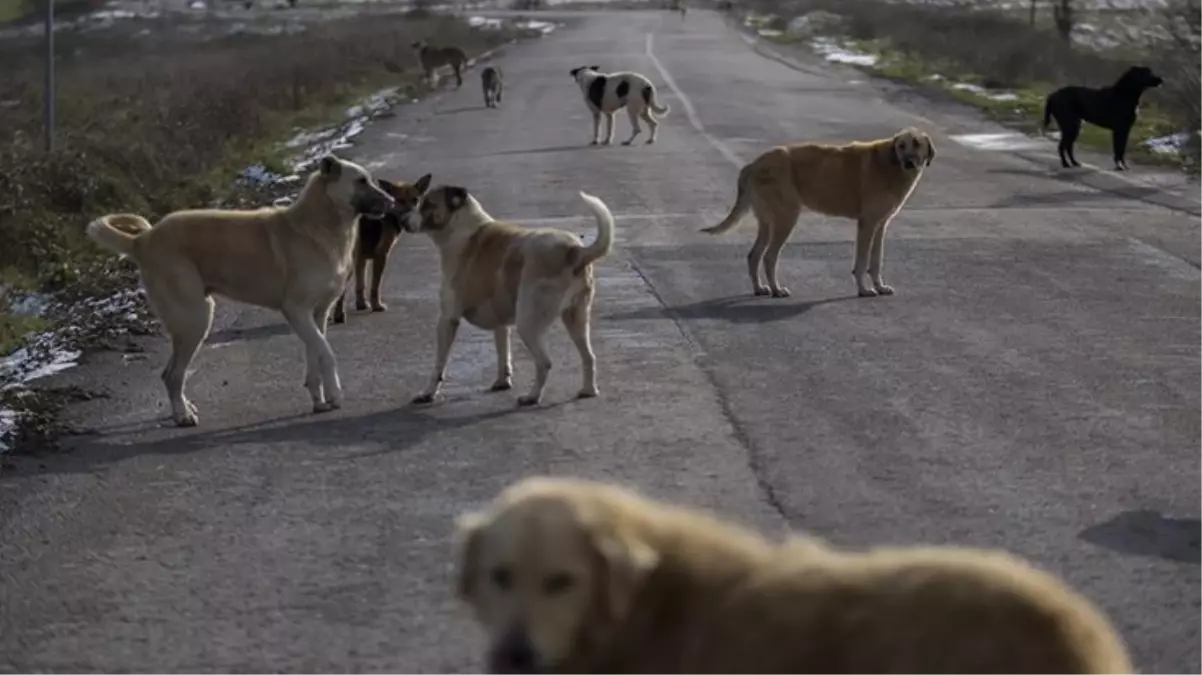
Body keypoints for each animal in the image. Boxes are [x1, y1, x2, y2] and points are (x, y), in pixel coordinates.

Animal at [85, 154, 394, 422]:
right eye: (361, 181)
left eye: (371, 179)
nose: (391, 202)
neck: (320, 224)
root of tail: (142, 240)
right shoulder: (296, 311)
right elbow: (326, 354)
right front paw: (336, 394)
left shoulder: (317, 315)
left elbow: (315, 356)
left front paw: (320, 400)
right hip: (195, 319)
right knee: (172, 374)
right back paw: (182, 416)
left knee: (171, 373)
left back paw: (184, 409)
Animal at [334, 171, 432, 321]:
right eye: (400, 201)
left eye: (415, 200)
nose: (411, 220)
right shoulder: (381, 256)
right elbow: (375, 285)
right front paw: (377, 306)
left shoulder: (361, 260)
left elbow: (360, 285)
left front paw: (362, 304)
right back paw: (338, 316)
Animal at [403, 182, 615, 403]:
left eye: (427, 204)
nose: (402, 221)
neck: (461, 227)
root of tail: (574, 250)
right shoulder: (500, 321)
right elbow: (502, 352)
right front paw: (502, 381)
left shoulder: (447, 319)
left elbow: (439, 364)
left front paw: (428, 392)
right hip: (576, 318)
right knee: (589, 357)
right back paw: (588, 390)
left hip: (528, 322)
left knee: (545, 362)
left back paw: (532, 397)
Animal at [701, 126, 937, 299]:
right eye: (901, 146)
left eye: (917, 144)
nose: (908, 162)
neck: (890, 164)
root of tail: (753, 164)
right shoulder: (867, 224)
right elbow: (861, 263)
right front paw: (863, 290)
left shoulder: (880, 226)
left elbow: (876, 261)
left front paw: (880, 286)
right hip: (786, 219)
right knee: (769, 257)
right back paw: (777, 289)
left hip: (768, 223)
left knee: (754, 255)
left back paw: (760, 288)